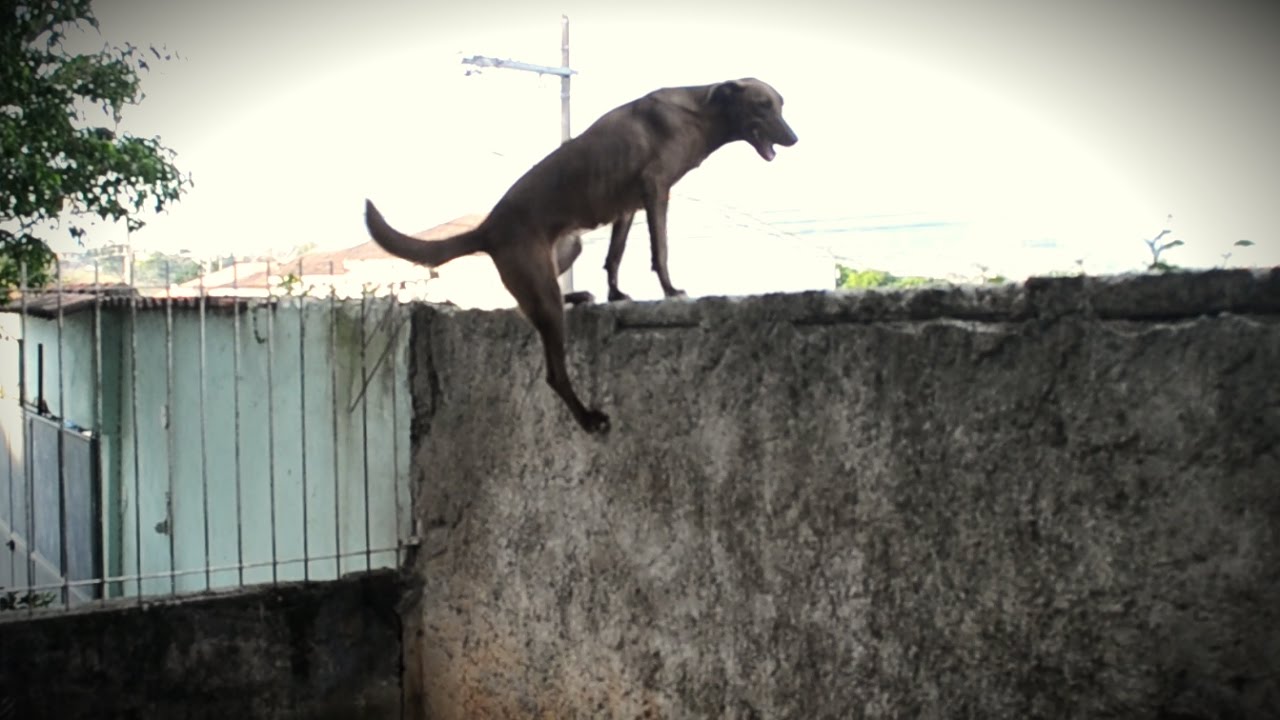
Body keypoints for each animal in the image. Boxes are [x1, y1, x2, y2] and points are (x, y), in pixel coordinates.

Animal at [366, 78, 793, 430]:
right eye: (762, 105)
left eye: (780, 104)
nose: (794, 138)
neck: (700, 112)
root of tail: (488, 227)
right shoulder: (655, 191)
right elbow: (660, 250)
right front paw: (671, 290)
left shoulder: (627, 208)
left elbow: (615, 256)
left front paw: (616, 294)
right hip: (542, 288)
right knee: (554, 372)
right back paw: (588, 419)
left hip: (566, 249)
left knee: (530, 303)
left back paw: (578, 296)